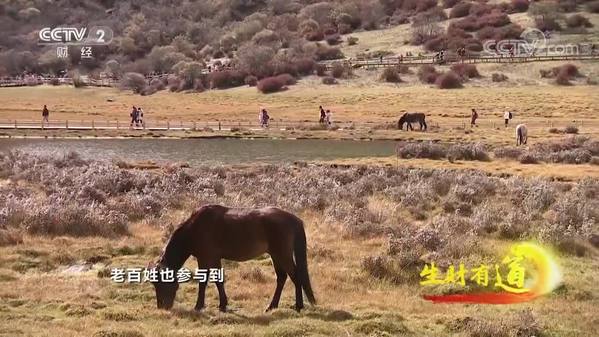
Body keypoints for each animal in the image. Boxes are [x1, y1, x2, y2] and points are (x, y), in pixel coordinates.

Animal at [150, 205, 316, 312]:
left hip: (282, 254)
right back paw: (272, 306)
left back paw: (298, 306)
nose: (162, 307)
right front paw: (223, 305)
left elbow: (204, 282)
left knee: (296, 277)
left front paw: (199, 306)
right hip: (276, 255)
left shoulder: (205, 258)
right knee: (282, 278)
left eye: (161, 283)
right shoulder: (214, 258)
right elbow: (218, 281)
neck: (195, 228)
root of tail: (294, 219)